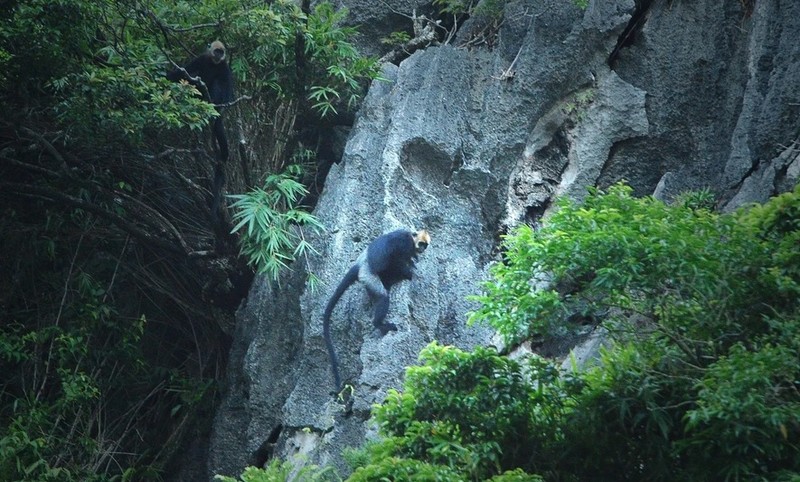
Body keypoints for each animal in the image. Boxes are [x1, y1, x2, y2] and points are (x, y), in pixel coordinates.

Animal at [322, 228, 432, 390]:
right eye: (422, 244)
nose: (423, 249)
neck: (412, 239)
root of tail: (360, 264)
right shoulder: (403, 244)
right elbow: (397, 259)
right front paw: (409, 271)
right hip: (368, 275)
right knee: (383, 294)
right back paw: (380, 323)